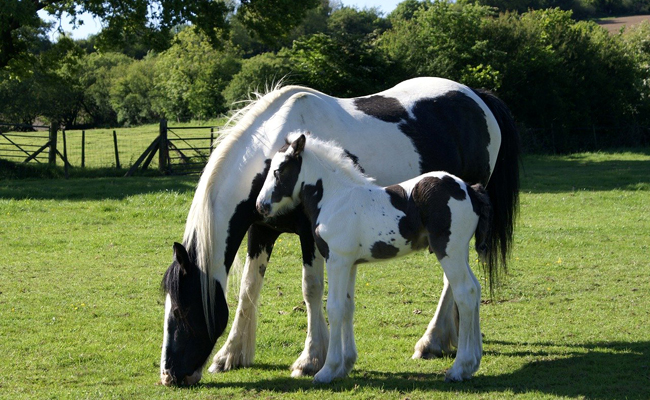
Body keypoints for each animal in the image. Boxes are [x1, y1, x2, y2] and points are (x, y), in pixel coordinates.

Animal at [253, 133, 492, 382]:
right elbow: (347, 307)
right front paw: (345, 365)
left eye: (279, 171)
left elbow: (335, 308)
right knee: (475, 289)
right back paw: (472, 363)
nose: (261, 206)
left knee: (465, 292)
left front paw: (327, 370)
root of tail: (470, 190)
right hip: (460, 251)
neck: (335, 198)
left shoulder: (337, 260)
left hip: (449, 250)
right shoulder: (350, 264)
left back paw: (459, 368)